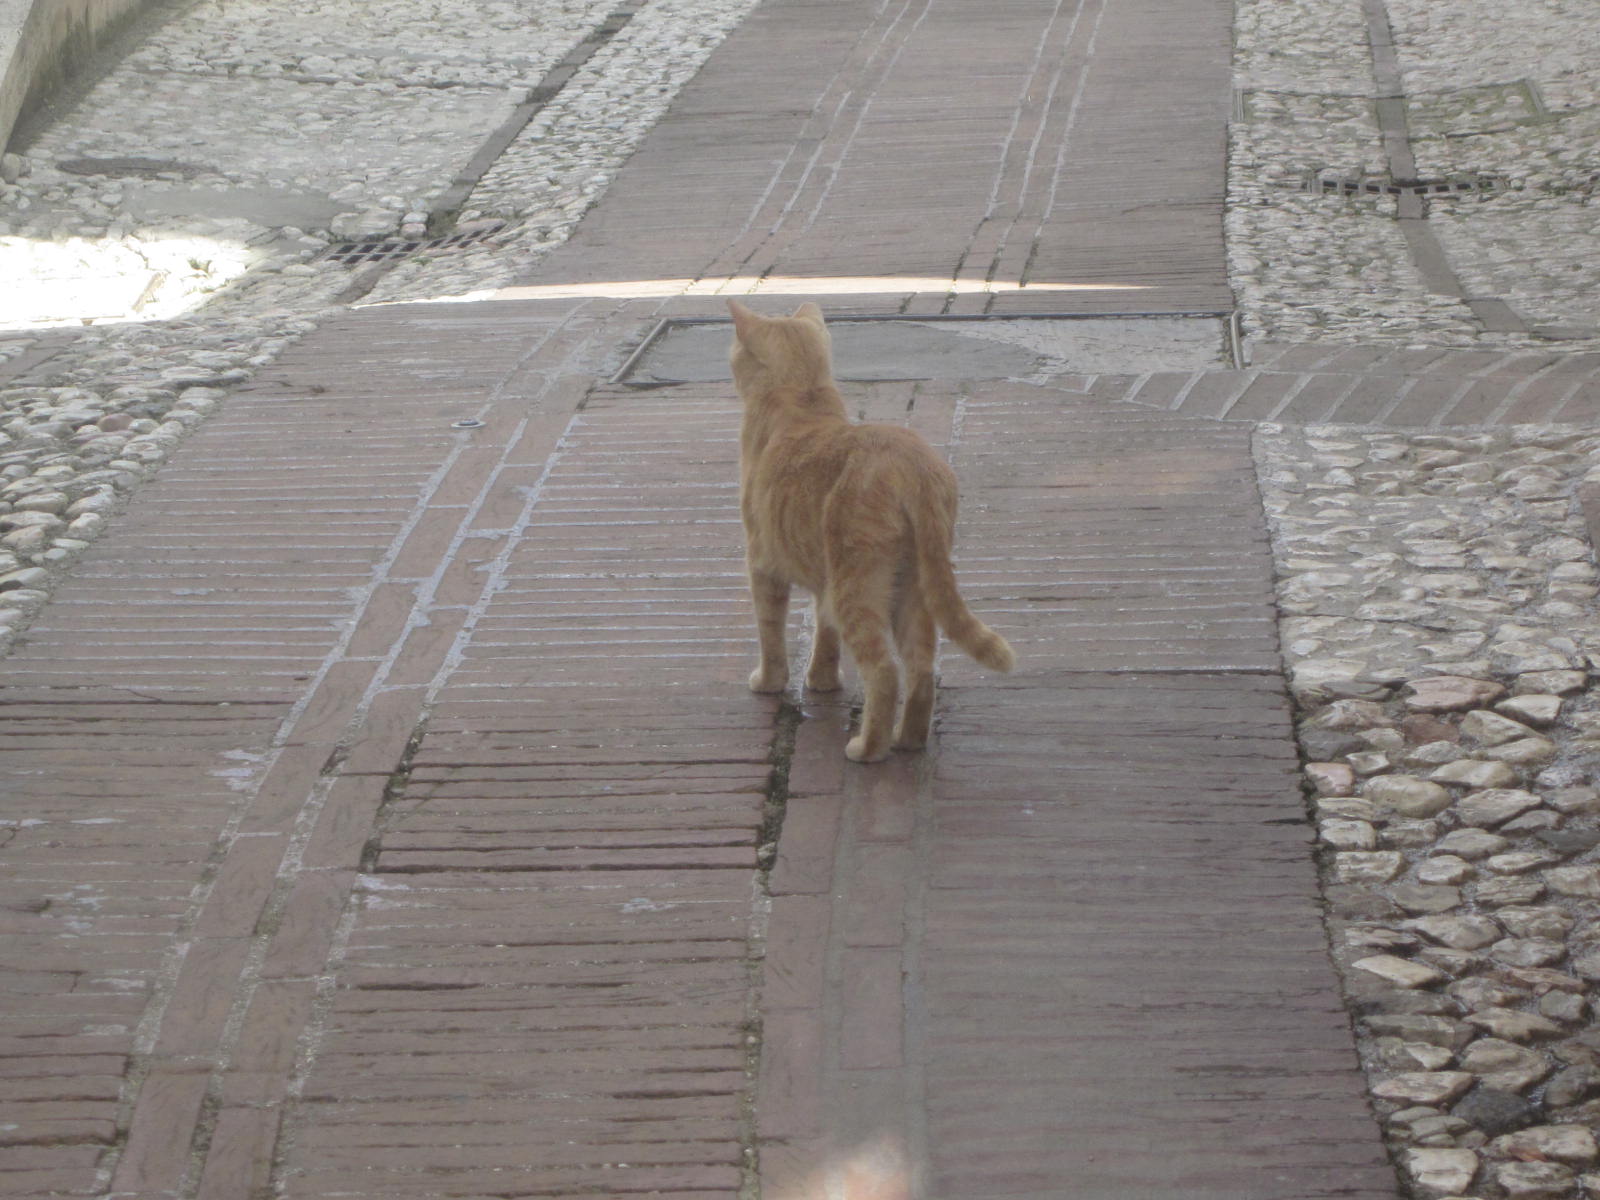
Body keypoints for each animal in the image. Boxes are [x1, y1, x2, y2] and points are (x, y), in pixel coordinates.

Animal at [726, 300, 1011, 771]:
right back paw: (908, 740)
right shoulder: (824, 581)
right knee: (921, 669)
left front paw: (770, 680)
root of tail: (913, 465)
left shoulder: (762, 565)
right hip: (913, 587)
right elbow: (825, 634)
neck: (802, 397)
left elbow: (771, 633)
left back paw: (869, 748)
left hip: (859, 589)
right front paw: (822, 680)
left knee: (884, 672)